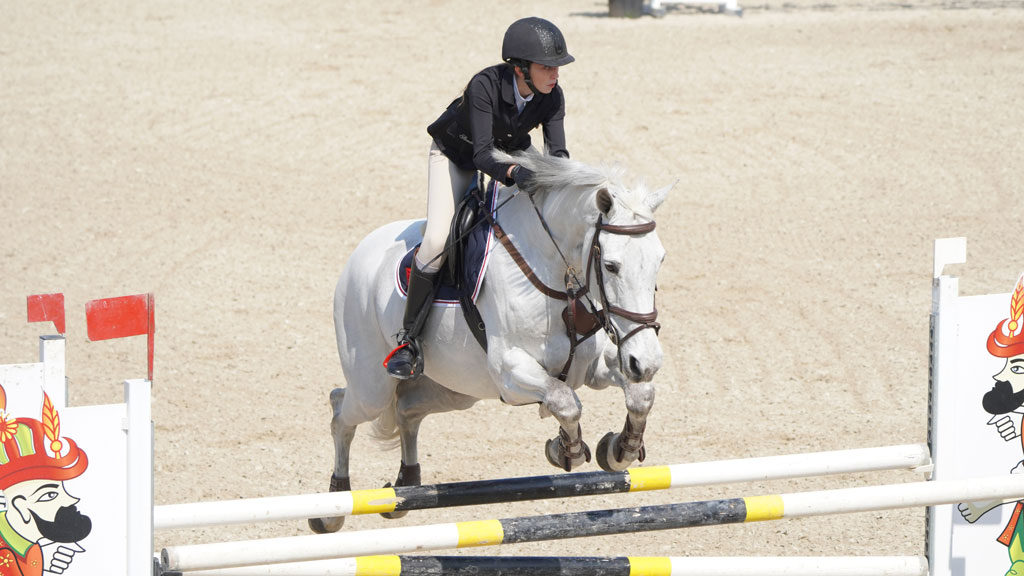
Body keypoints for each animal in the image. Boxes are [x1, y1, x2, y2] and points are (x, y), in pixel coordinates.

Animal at [311, 148, 671, 532]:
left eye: (660, 261)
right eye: (612, 266)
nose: (646, 362)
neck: (552, 270)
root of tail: (361, 252)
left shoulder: (593, 367)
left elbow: (640, 395)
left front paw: (619, 449)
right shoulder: (510, 371)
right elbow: (565, 401)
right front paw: (567, 450)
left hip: (457, 389)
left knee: (407, 409)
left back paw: (405, 487)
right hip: (372, 387)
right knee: (341, 410)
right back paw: (332, 508)